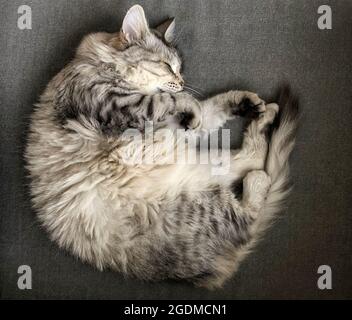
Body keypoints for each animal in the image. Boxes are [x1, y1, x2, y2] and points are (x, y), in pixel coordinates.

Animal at [26, 4, 298, 290]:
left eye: (179, 68)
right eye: (168, 66)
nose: (181, 80)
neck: (95, 61)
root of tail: (220, 268)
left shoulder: (171, 125)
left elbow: (208, 107)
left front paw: (245, 100)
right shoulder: (116, 104)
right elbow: (175, 100)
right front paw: (188, 99)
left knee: (253, 160)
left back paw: (267, 112)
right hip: (199, 203)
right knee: (250, 200)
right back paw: (259, 168)